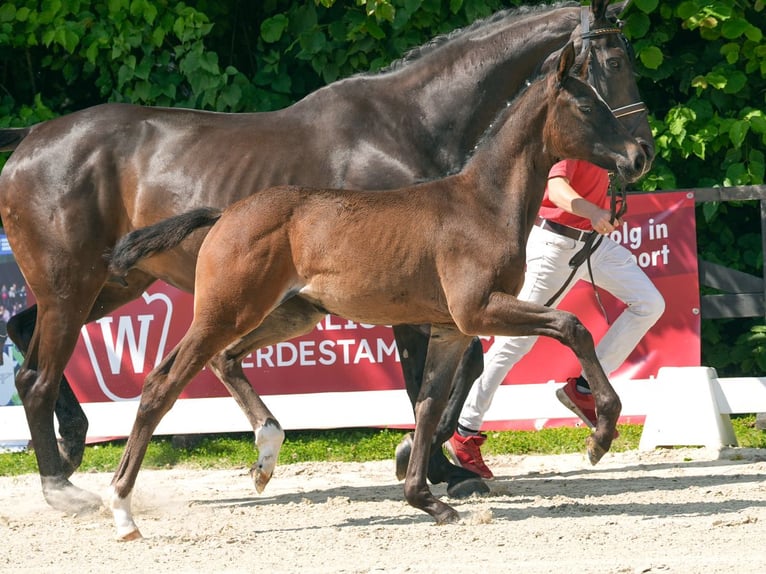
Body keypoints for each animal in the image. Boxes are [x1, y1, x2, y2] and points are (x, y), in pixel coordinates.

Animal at [0, 0, 656, 512]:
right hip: (80, 286)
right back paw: (64, 486)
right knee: (42, 375)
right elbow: (444, 375)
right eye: (612, 64)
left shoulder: (440, 307)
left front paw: (435, 468)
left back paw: (81, 445)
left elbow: (449, 378)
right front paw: (426, 463)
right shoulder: (429, 304)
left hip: (124, 284)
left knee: (27, 336)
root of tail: (31, 138)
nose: (642, 154)